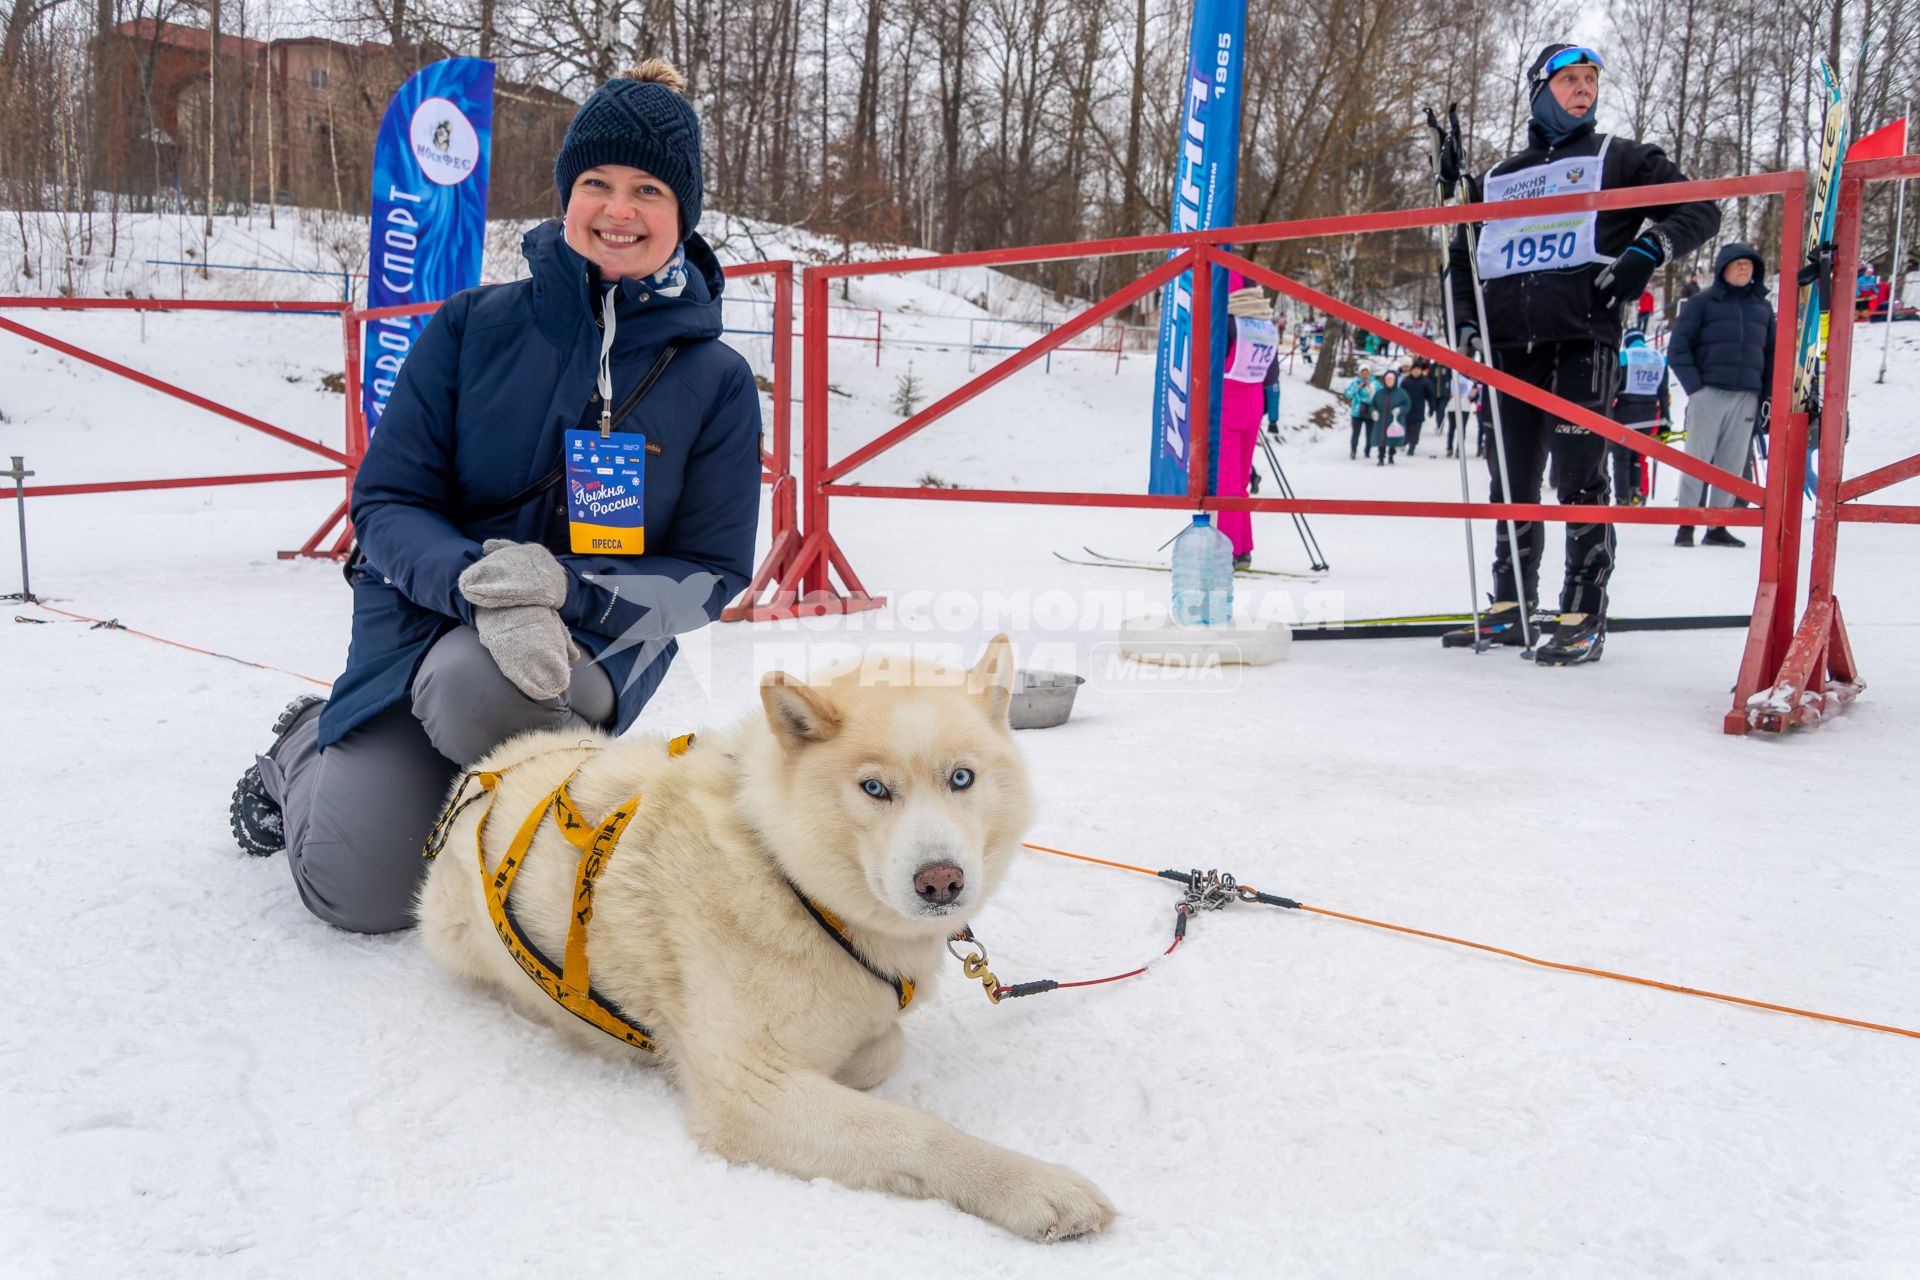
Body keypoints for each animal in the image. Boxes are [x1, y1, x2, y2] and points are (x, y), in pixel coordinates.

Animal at [412, 637, 1121, 1243]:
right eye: (873, 788)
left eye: (962, 779)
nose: (941, 881)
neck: (790, 881)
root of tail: (487, 770)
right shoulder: (749, 1094)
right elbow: (912, 1128)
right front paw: (1031, 1186)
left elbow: (886, 1044)